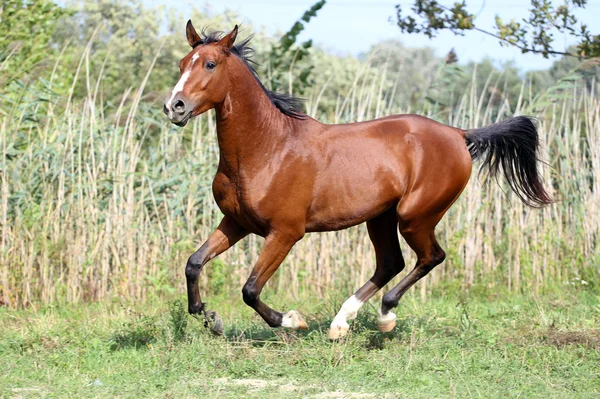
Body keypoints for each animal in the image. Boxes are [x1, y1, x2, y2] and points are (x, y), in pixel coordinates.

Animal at [162, 21, 552, 340]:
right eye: (181, 64)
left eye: (210, 64)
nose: (174, 107)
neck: (268, 149)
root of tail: (458, 133)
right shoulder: (236, 222)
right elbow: (194, 263)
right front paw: (210, 318)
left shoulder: (285, 233)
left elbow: (250, 289)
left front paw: (292, 320)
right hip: (380, 217)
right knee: (391, 263)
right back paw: (340, 324)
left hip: (415, 216)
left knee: (431, 257)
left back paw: (384, 316)